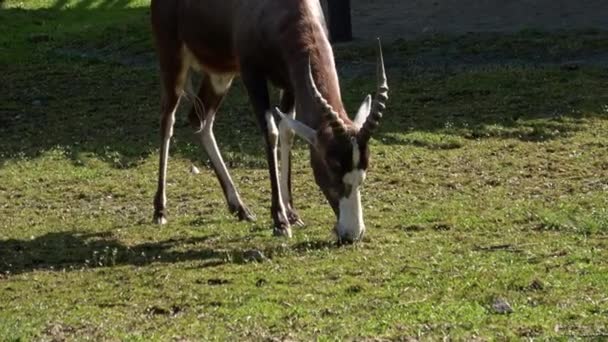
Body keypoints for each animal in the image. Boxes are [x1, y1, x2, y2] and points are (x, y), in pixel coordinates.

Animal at [151, 0, 390, 243]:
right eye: (332, 165)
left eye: (364, 168)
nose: (352, 234)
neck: (282, 10)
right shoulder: (252, 75)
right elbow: (271, 133)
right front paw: (280, 221)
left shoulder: (291, 83)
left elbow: (287, 131)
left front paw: (291, 213)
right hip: (172, 59)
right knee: (167, 120)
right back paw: (160, 210)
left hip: (220, 73)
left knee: (200, 120)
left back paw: (240, 208)